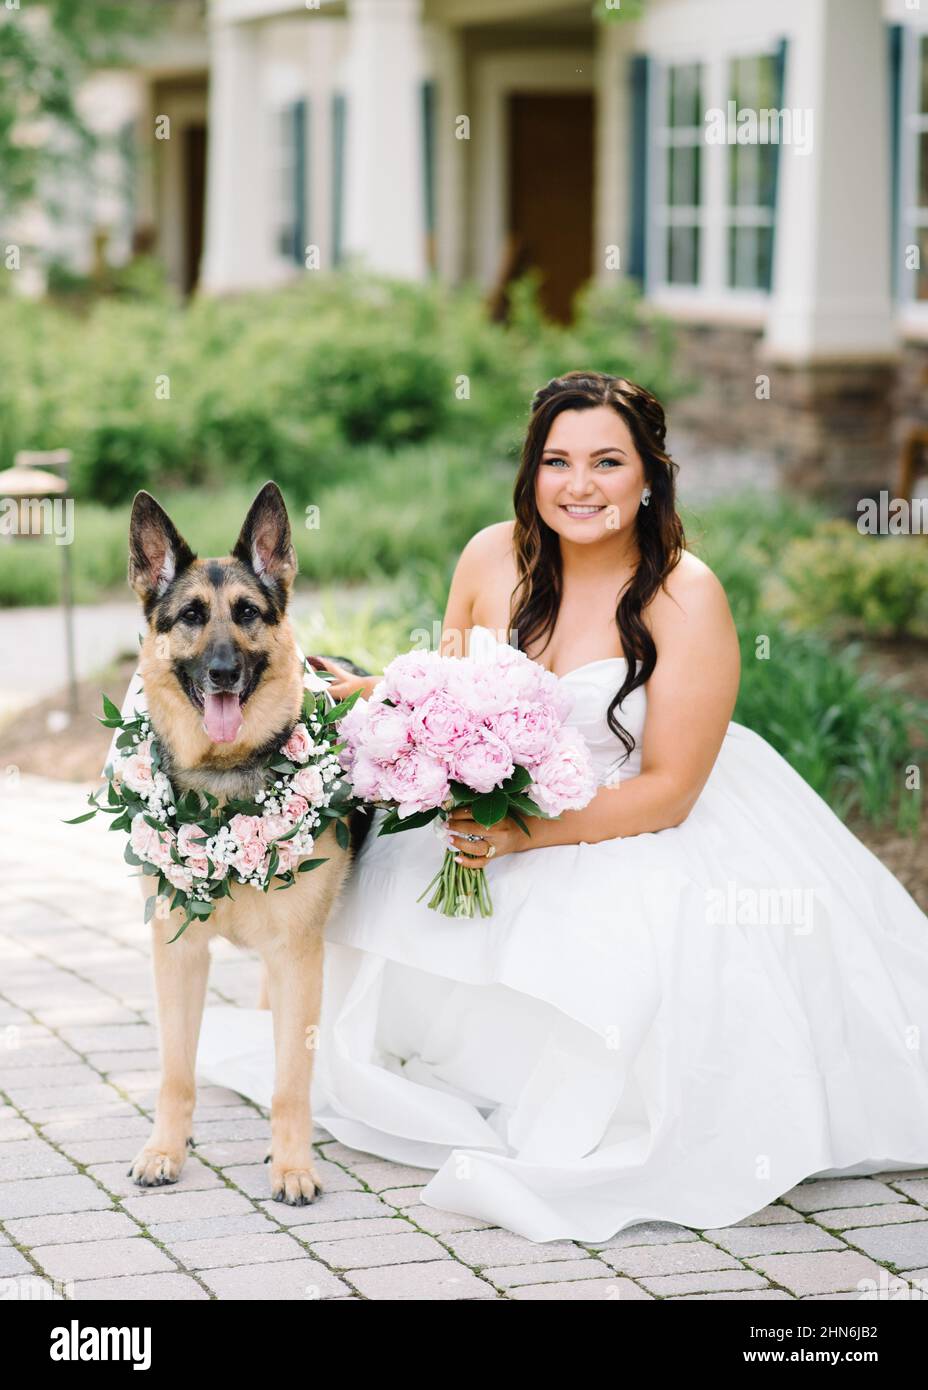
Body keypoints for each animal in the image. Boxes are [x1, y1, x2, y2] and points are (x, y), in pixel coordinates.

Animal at [125, 483, 361, 1200]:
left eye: (248, 613)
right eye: (192, 616)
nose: (224, 673)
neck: (224, 781)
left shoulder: (298, 955)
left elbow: (292, 1080)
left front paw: (293, 1164)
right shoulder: (176, 953)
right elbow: (175, 1071)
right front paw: (165, 1150)